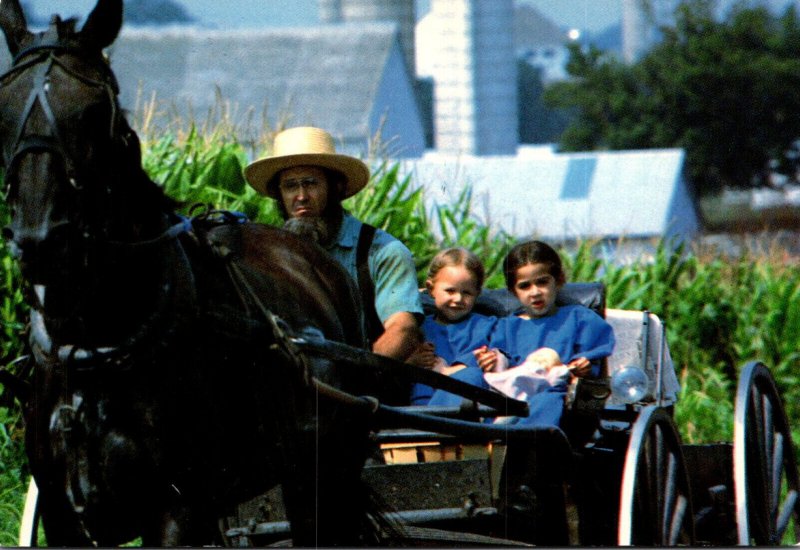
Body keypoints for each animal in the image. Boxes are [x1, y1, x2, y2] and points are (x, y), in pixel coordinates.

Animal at [0, 0, 390, 544]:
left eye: (94, 113)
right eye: (3, 108)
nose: (41, 242)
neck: (95, 343)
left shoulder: (175, 509)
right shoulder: (62, 515)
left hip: (324, 469)